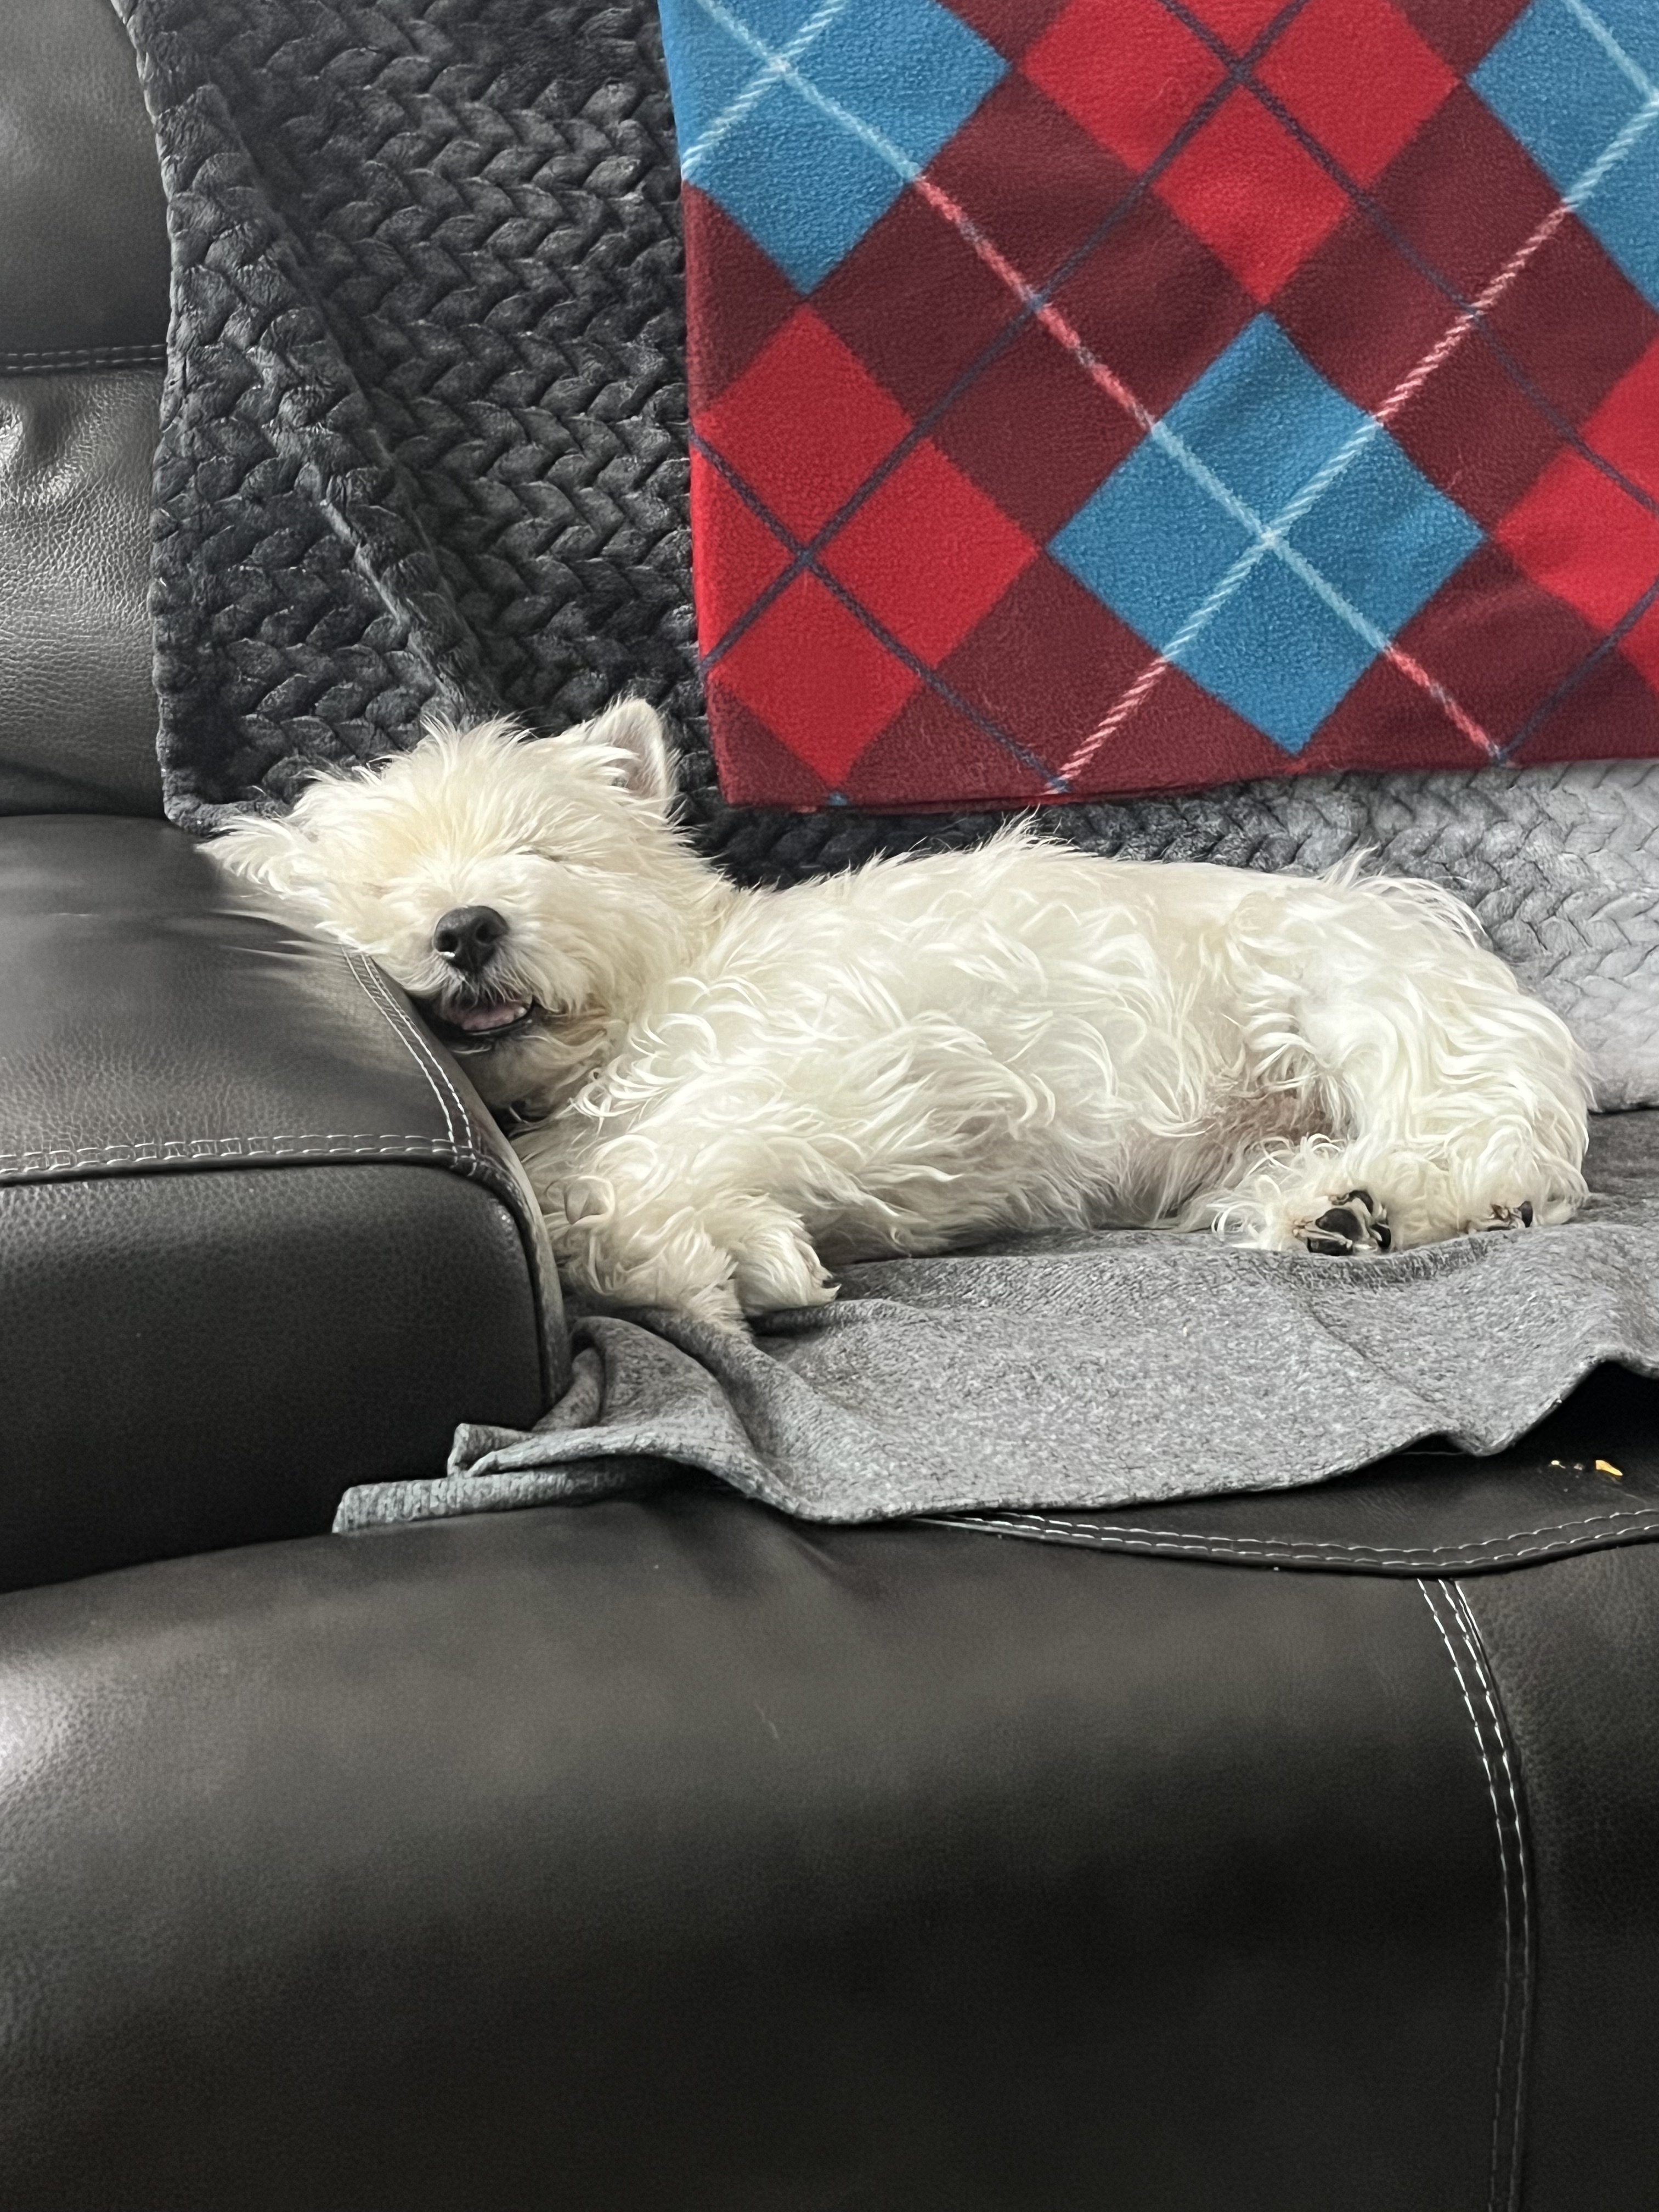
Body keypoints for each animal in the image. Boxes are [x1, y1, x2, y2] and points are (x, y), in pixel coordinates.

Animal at [210, 699, 1591, 1329]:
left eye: (547, 853)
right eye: (373, 890)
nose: (467, 927)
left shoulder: (840, 1061)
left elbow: (647, 1169)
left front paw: (712, 1259)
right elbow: (588, 1196)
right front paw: (726, 1252)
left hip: (1360, 995)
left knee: (1480, 1136)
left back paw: (1406, 1199)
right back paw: (1330, 1212)